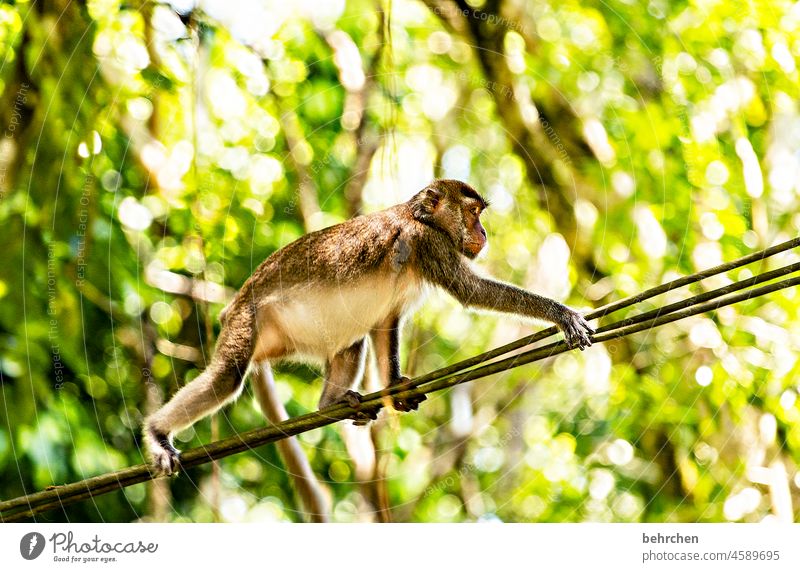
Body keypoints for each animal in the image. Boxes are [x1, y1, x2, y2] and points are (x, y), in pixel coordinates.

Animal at [144, 179, 592, 474]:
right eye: (473, 212)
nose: (483, 232)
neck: (420, 217)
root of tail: (232, 307)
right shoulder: (428, 242)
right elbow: (473, 293)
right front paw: (561, 314)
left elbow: (383, 325)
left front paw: (395, 389)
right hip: (247, 320)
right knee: (227, 376)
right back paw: (158, 433)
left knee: (352, 340)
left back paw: (329, 404)